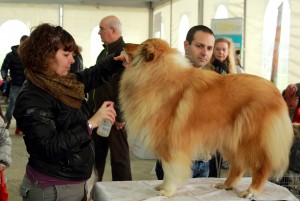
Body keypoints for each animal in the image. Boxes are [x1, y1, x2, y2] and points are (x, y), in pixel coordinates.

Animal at [118, 38, 294, 199]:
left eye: (141, 45)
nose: (124, 44)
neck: (157, 72)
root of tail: (276, 92)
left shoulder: (170, 141)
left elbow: (169, 169)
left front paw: (167, 191)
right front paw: (162, 186)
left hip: (252, 140)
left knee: (261, 167)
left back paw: (250, 191)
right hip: (231, 141)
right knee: (238, 166)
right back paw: (226, 185)